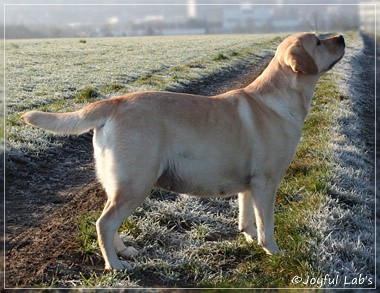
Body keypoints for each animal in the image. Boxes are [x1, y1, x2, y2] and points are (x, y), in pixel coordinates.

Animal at [23, 33, 344, 270]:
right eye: (317, 42)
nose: (341, 36)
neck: (281, 98)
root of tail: (115, 102)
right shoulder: (267, 182)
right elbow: (267, 224)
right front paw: (273, 251)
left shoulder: (250, 184)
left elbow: (247, 217)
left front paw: (250, 239)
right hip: (137, 182)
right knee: (104, 223)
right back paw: (115, 265)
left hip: (120, 184)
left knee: (110, 222)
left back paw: (124, 251)